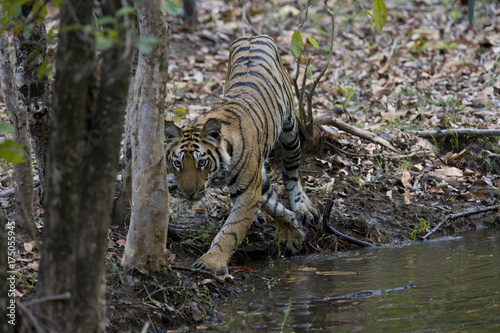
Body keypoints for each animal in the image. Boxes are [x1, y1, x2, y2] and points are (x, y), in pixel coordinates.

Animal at [166, 34, 318, 272]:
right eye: (178, 164)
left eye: (202, 163)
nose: (188, 193)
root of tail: (254, 35)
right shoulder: (253, 185)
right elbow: (274, 205)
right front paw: (292, 233)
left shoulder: (248, 191)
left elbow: (232, 230)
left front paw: (211, 263)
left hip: (290, 132)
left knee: (291, 174)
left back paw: (303, 207)